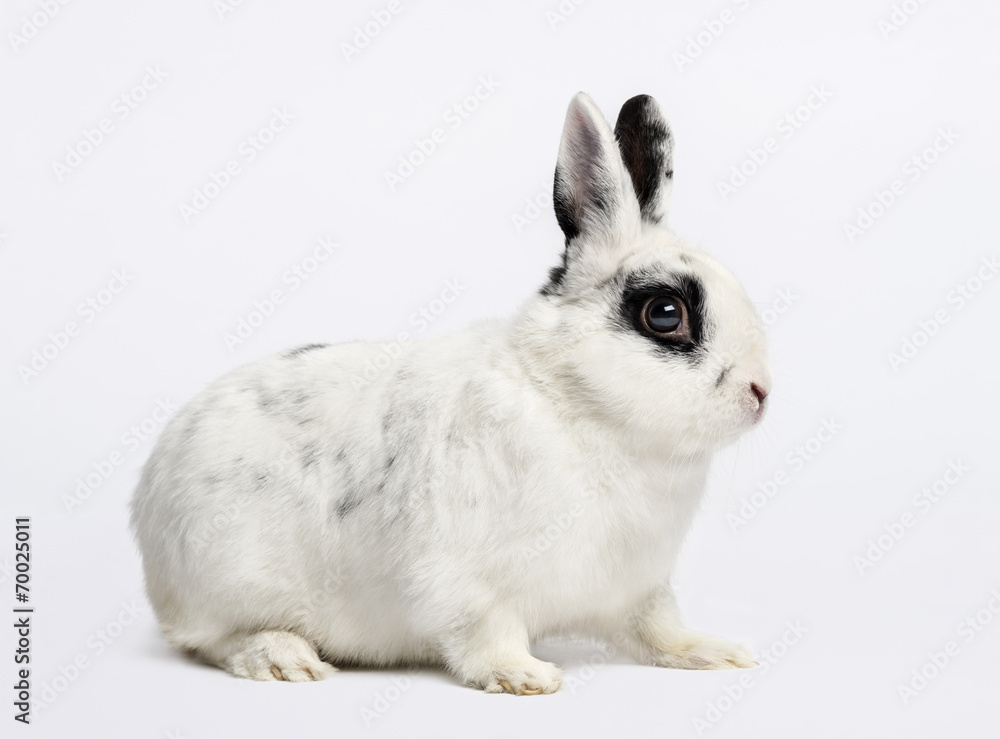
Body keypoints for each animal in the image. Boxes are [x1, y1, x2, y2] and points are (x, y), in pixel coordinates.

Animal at [130, 92, 772, 694]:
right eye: (665, 314)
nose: (761, 392)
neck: (577, 404)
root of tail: (149, 501)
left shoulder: (640, 587)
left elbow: (658, 628)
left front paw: (716, 654)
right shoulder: (470, 585)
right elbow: (487, 635)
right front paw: (525, 678)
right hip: (229, 579)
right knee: (214, 640)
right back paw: (285, 659)